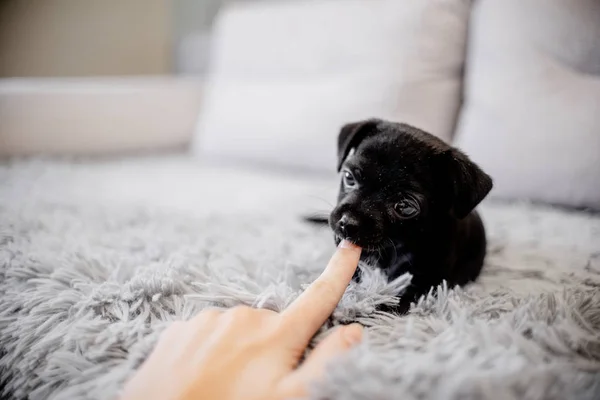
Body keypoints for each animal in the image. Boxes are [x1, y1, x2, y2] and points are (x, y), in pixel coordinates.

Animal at [310, 118, 492, 312]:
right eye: (349, 177)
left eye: (405, 207)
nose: (347, 222)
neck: (395, 247)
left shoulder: (426, 286)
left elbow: (389, 304)